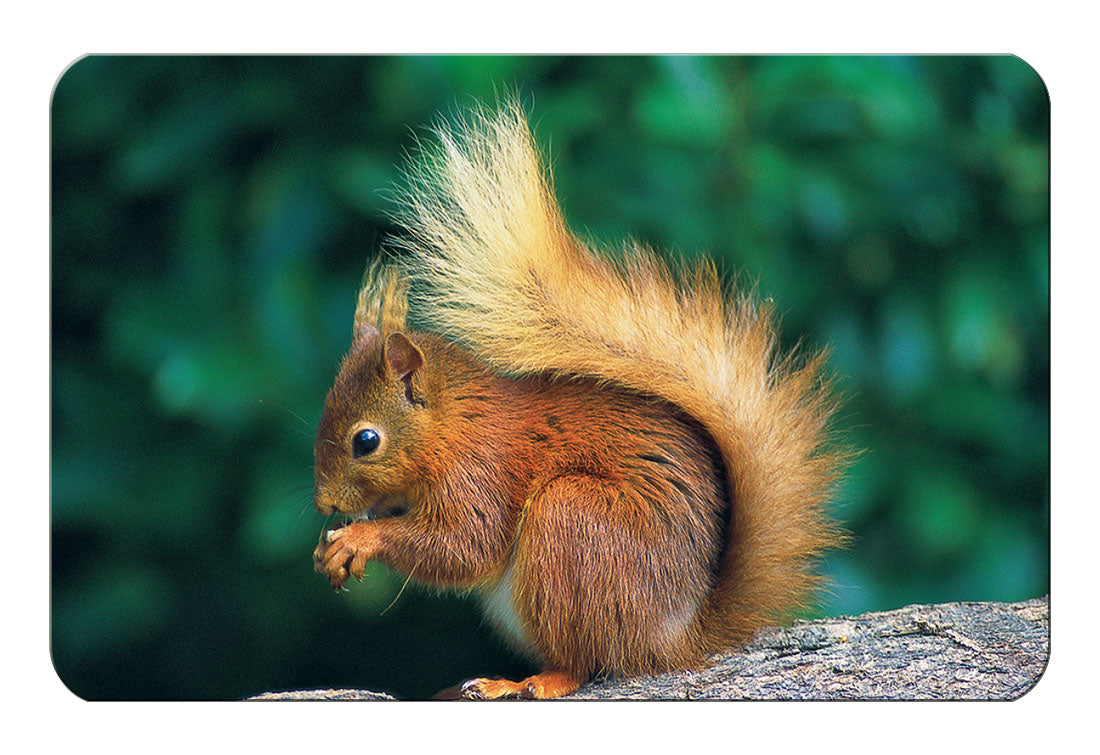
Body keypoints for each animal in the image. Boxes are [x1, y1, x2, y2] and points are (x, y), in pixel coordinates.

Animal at [312, 102, 845, 700]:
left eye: (366, 441)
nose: (325, 504)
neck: (452, 426)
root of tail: (673, 639)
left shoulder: (480, 472)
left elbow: (464, 546)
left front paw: (359, 538)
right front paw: (329, 547)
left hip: (571, 523)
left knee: (585, 662)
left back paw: (526, 682)